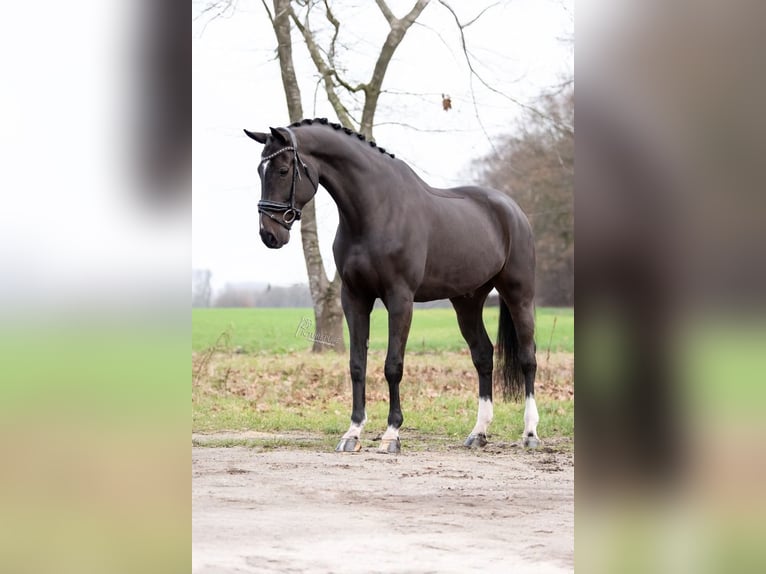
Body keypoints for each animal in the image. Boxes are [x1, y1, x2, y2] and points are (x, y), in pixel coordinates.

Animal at [244, 118, 540, 452]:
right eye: (260, 171)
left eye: (283, 170)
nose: (269, 234)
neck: (375, 211)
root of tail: (513, 210)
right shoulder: (354, 298)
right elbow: (357, 365)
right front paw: (352, 433)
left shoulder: (400, 299)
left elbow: (392, 365)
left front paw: (391, 434)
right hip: (468, 301)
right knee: (483, 356)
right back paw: (478, 433)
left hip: (519, 294)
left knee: (528, 358)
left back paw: (530, 433)